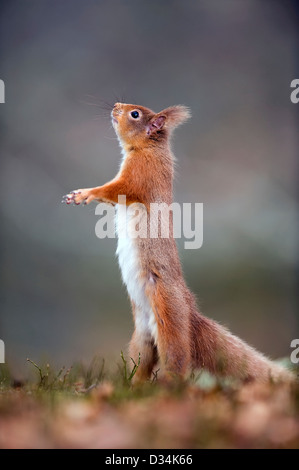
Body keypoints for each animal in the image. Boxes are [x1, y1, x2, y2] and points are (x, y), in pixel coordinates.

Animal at [63, 102, 296, 382]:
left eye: (135, 114)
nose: (116, 107)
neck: (148, 149)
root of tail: (190, 314)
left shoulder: (140, 175)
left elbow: (116, 189)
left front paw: (84, 194)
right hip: (141, 336)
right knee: (143, 361)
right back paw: (135, 386)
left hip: (169, 320)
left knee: (178, 362)